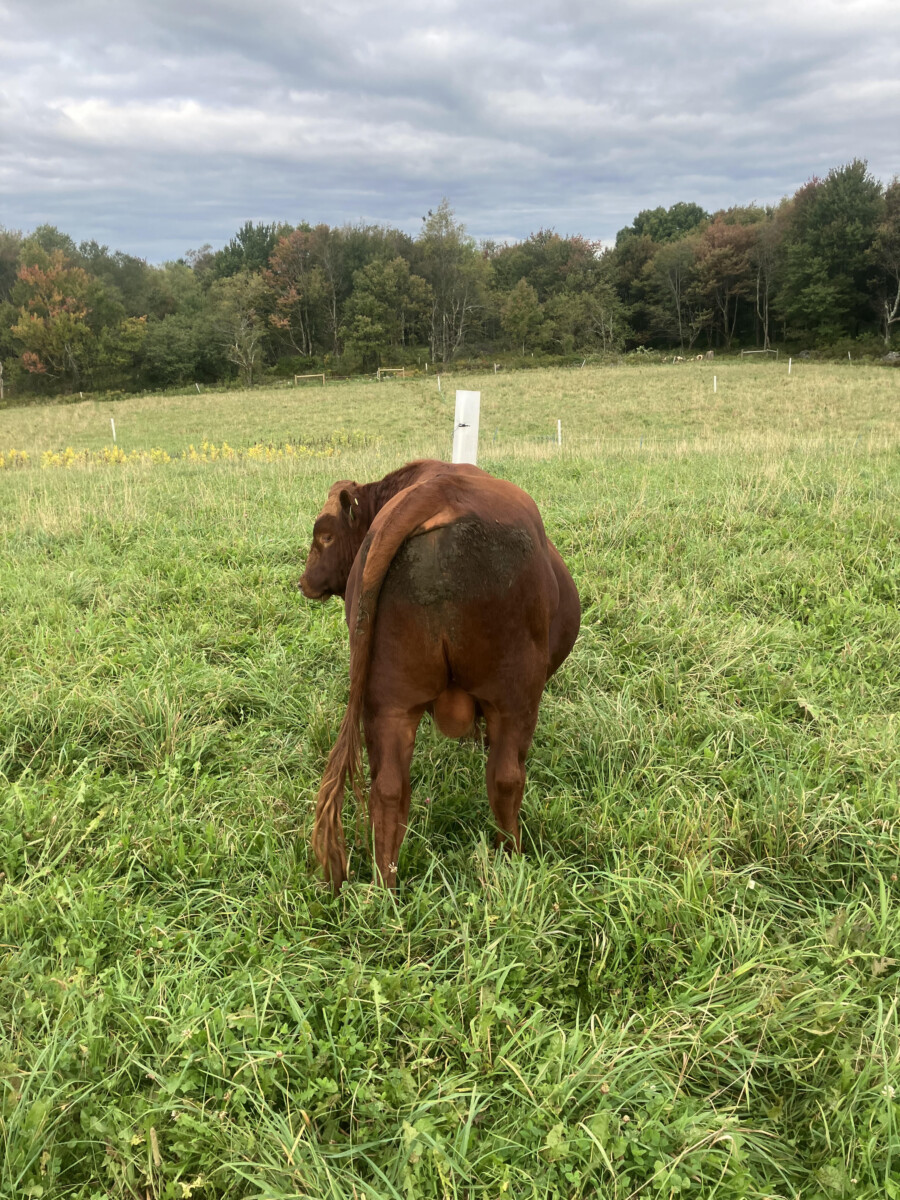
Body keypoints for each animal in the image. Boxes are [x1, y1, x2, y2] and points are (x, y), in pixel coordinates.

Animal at [298, 458, 580, 891]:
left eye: (326, 536)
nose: (304, 582)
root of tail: (437, 492)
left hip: (388, 702)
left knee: (389, 791)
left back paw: (386, 886)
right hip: (515, 695)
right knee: (506, 778)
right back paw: (511, 857)